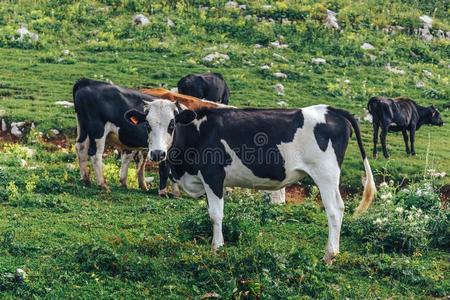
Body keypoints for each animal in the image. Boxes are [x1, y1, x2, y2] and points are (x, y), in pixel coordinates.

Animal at [124, 99, 376, 264]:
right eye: (147, 125)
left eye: (171, 124)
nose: (157, 154)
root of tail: (331, 110)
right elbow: (210, 213)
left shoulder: (214, 176)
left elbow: (216, 214)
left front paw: (217, 247)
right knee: (340, 208)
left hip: (326, 174)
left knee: (334, 211)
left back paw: (329, 255)